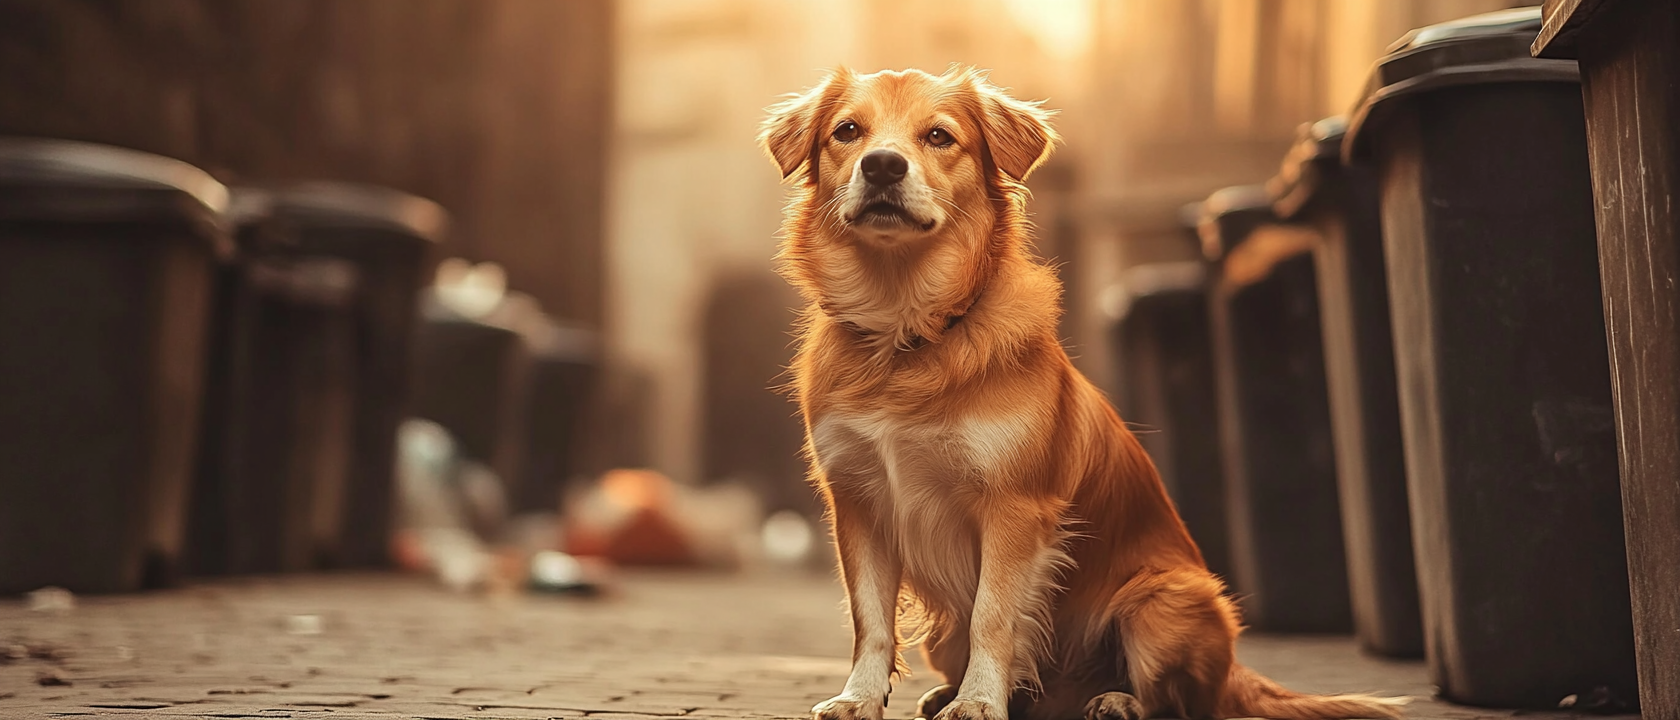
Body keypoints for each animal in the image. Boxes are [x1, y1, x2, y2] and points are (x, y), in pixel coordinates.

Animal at [759, 67, 1404, 718]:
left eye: (938, 136)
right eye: (848, 131)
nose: (883, 166)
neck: (907, 333)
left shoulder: (1014, 507)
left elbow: (993, 615)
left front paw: (981, 701)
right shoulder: (859, 503)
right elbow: (870, 618)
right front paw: (860, 697)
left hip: (1163, 601)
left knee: (1181, 702)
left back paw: (1114, 699)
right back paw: (959, 692)